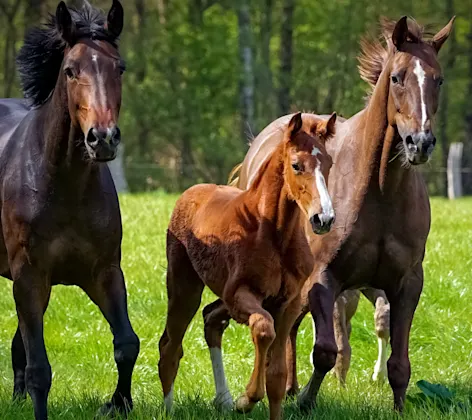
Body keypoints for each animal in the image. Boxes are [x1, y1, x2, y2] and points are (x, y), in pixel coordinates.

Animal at [0, 1, 139, 418]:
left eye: (119, 67)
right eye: (70, 70)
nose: (103, 138)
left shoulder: (103, 272)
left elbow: (126, 344)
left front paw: (118, 404)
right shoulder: (29, 276)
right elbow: (39, 370)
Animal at [160, 112, 338, 420]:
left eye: (328, 163)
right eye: (296, 165)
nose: (323, 218)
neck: (274, 234)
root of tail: (191, 192)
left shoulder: (288, 303)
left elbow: (277, 375)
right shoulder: (240, 295)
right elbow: (263, 328)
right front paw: (246, 399)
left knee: (209, 322)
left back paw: (222, 399)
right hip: (184, 288)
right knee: (171, 345)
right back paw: (172, 408)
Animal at [219, 17, 456, 414]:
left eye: (438, 79)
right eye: (397, 77)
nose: (419, 143)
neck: (379, 192)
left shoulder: (407, 283)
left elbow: (399, 362)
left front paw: (397, 408)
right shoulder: (323, 279)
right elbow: (326, 351)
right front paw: (304, 401)